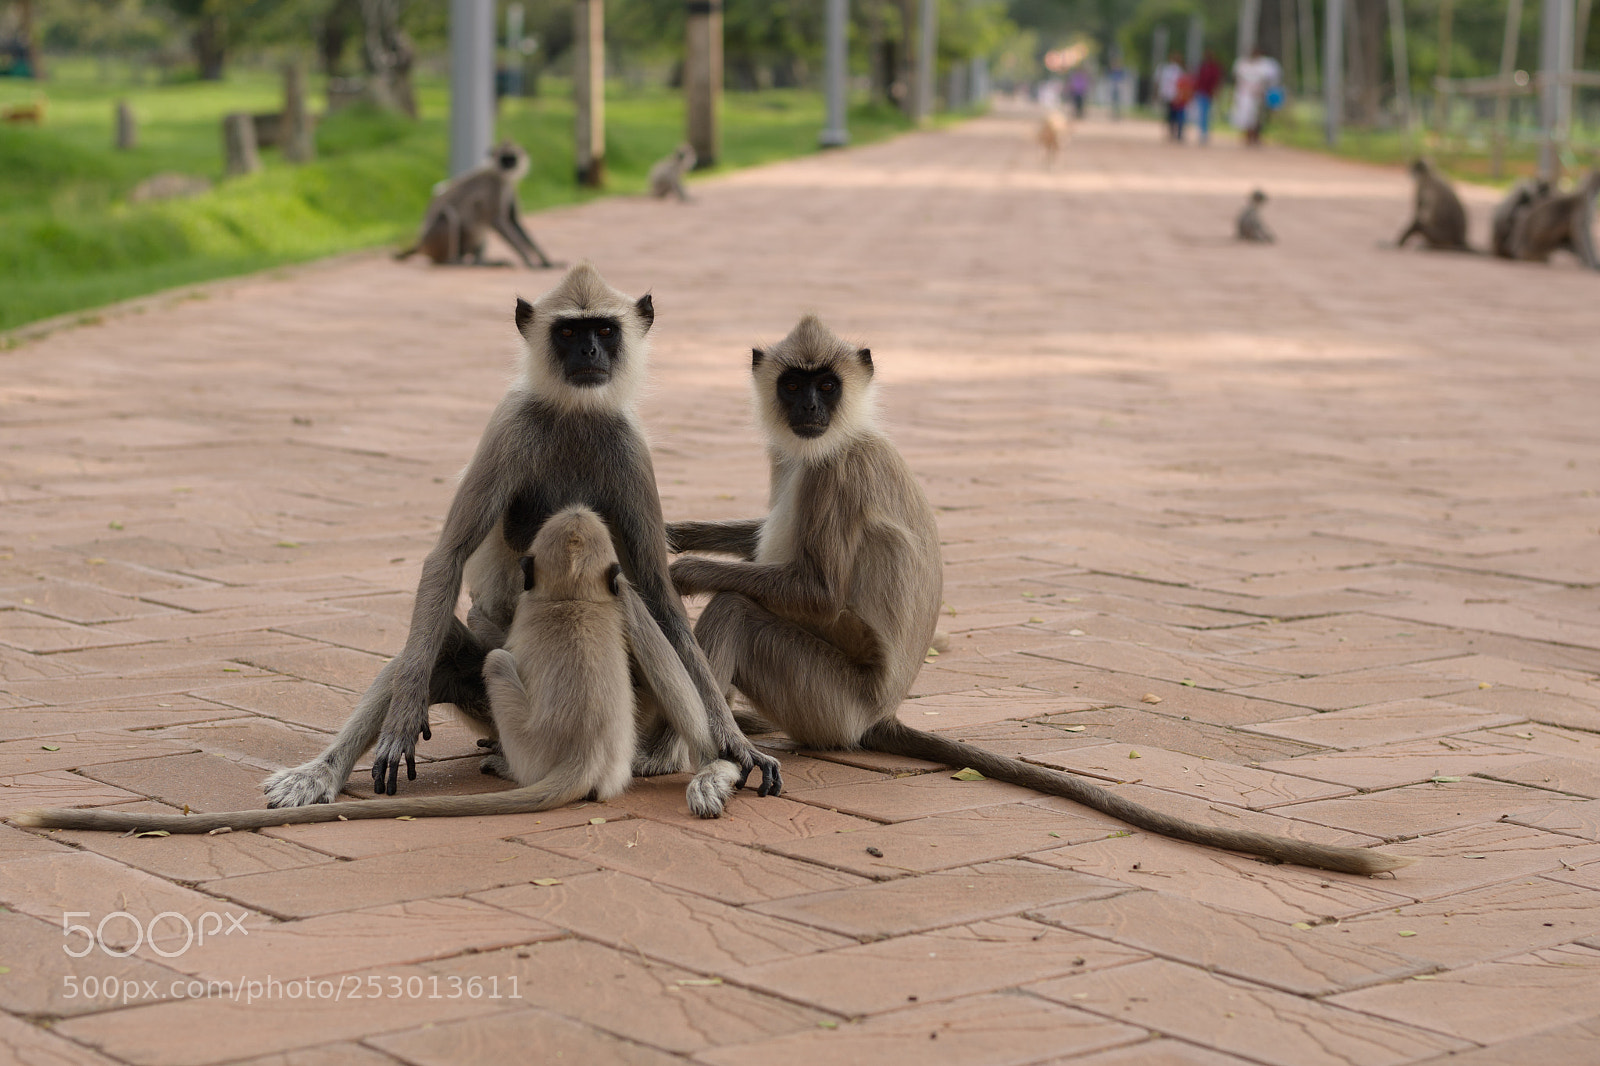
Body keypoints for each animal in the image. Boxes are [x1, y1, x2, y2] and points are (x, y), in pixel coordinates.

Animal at [395, 140, 555, 268]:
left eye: (512, 158)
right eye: (504, 159)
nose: (508, 165)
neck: (500, 176)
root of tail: (420, 244)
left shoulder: (510, 189)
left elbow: (514, 221)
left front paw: (546, 261)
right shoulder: (494, 187)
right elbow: (498, 221)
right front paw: (530, 262)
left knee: (480, 227)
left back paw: (482, 263)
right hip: (434, 242)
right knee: (446, 215)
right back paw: (453, 262)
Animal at [666, 315, 1410, 878]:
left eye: (827, 384)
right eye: (794, 385)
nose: (812, 409)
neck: (839, 435)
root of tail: (880, 713)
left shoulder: (836, 473)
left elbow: (817, 595)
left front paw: (686, 572)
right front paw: (677, 534)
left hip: (827, 699)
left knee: (741, 612)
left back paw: (712, 763)